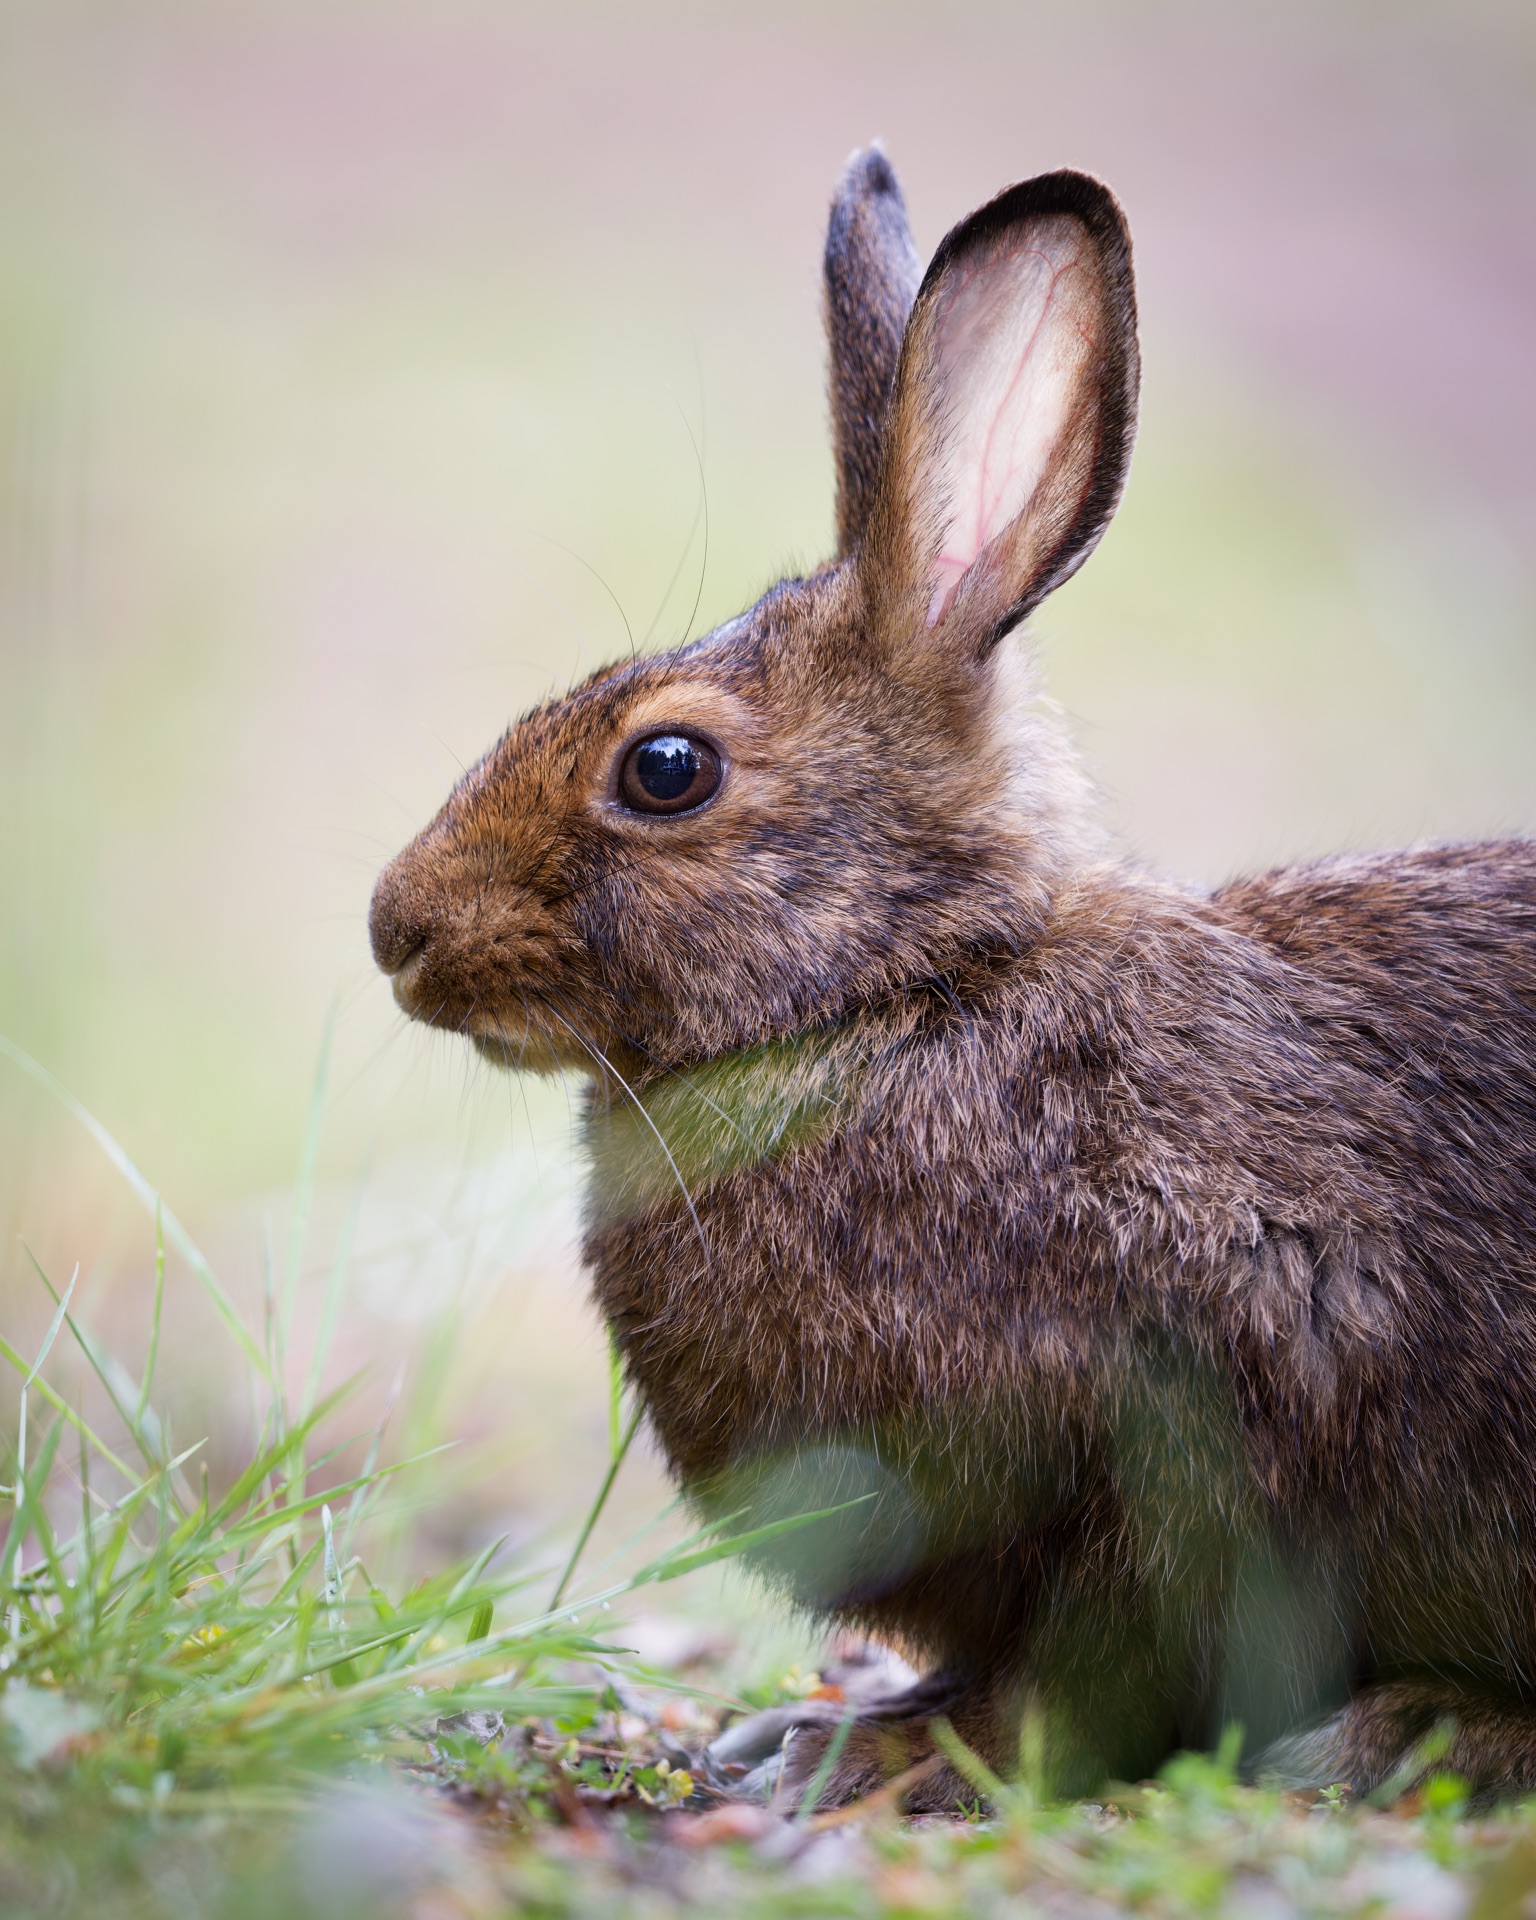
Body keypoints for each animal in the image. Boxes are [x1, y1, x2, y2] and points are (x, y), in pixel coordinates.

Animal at [369, 146, 1536, 1810]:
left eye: (667, 769)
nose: (396, 929)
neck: (908, 991)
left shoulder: (1192, 1427)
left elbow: (1085, 1678)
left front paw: (877, 1758)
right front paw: (813, 1734)